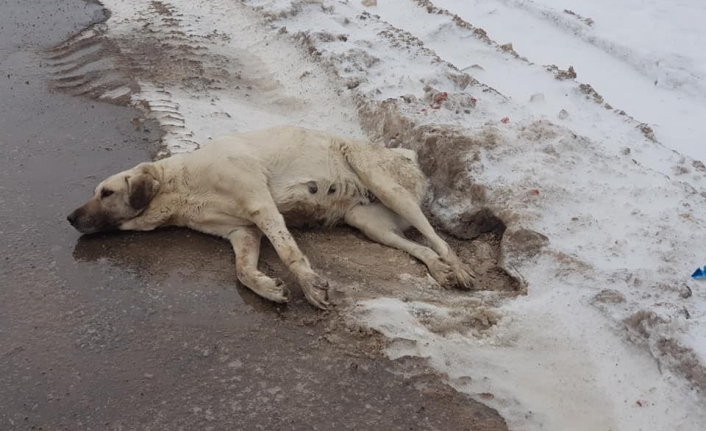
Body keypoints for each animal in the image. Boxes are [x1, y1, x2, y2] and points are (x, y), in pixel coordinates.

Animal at [67, 125, 472, 310]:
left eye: (106, 193)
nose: (69, 217)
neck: (180, 187)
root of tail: (406, 154)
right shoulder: (243, 231)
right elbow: (242, 271)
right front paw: (268, 287)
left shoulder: (260, 203)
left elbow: (290, 253)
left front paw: (309, 285)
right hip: (368, 223)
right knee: (419, 247)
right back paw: (439, 270)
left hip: (384, 183)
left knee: (436, 237)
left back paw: (458, 267)